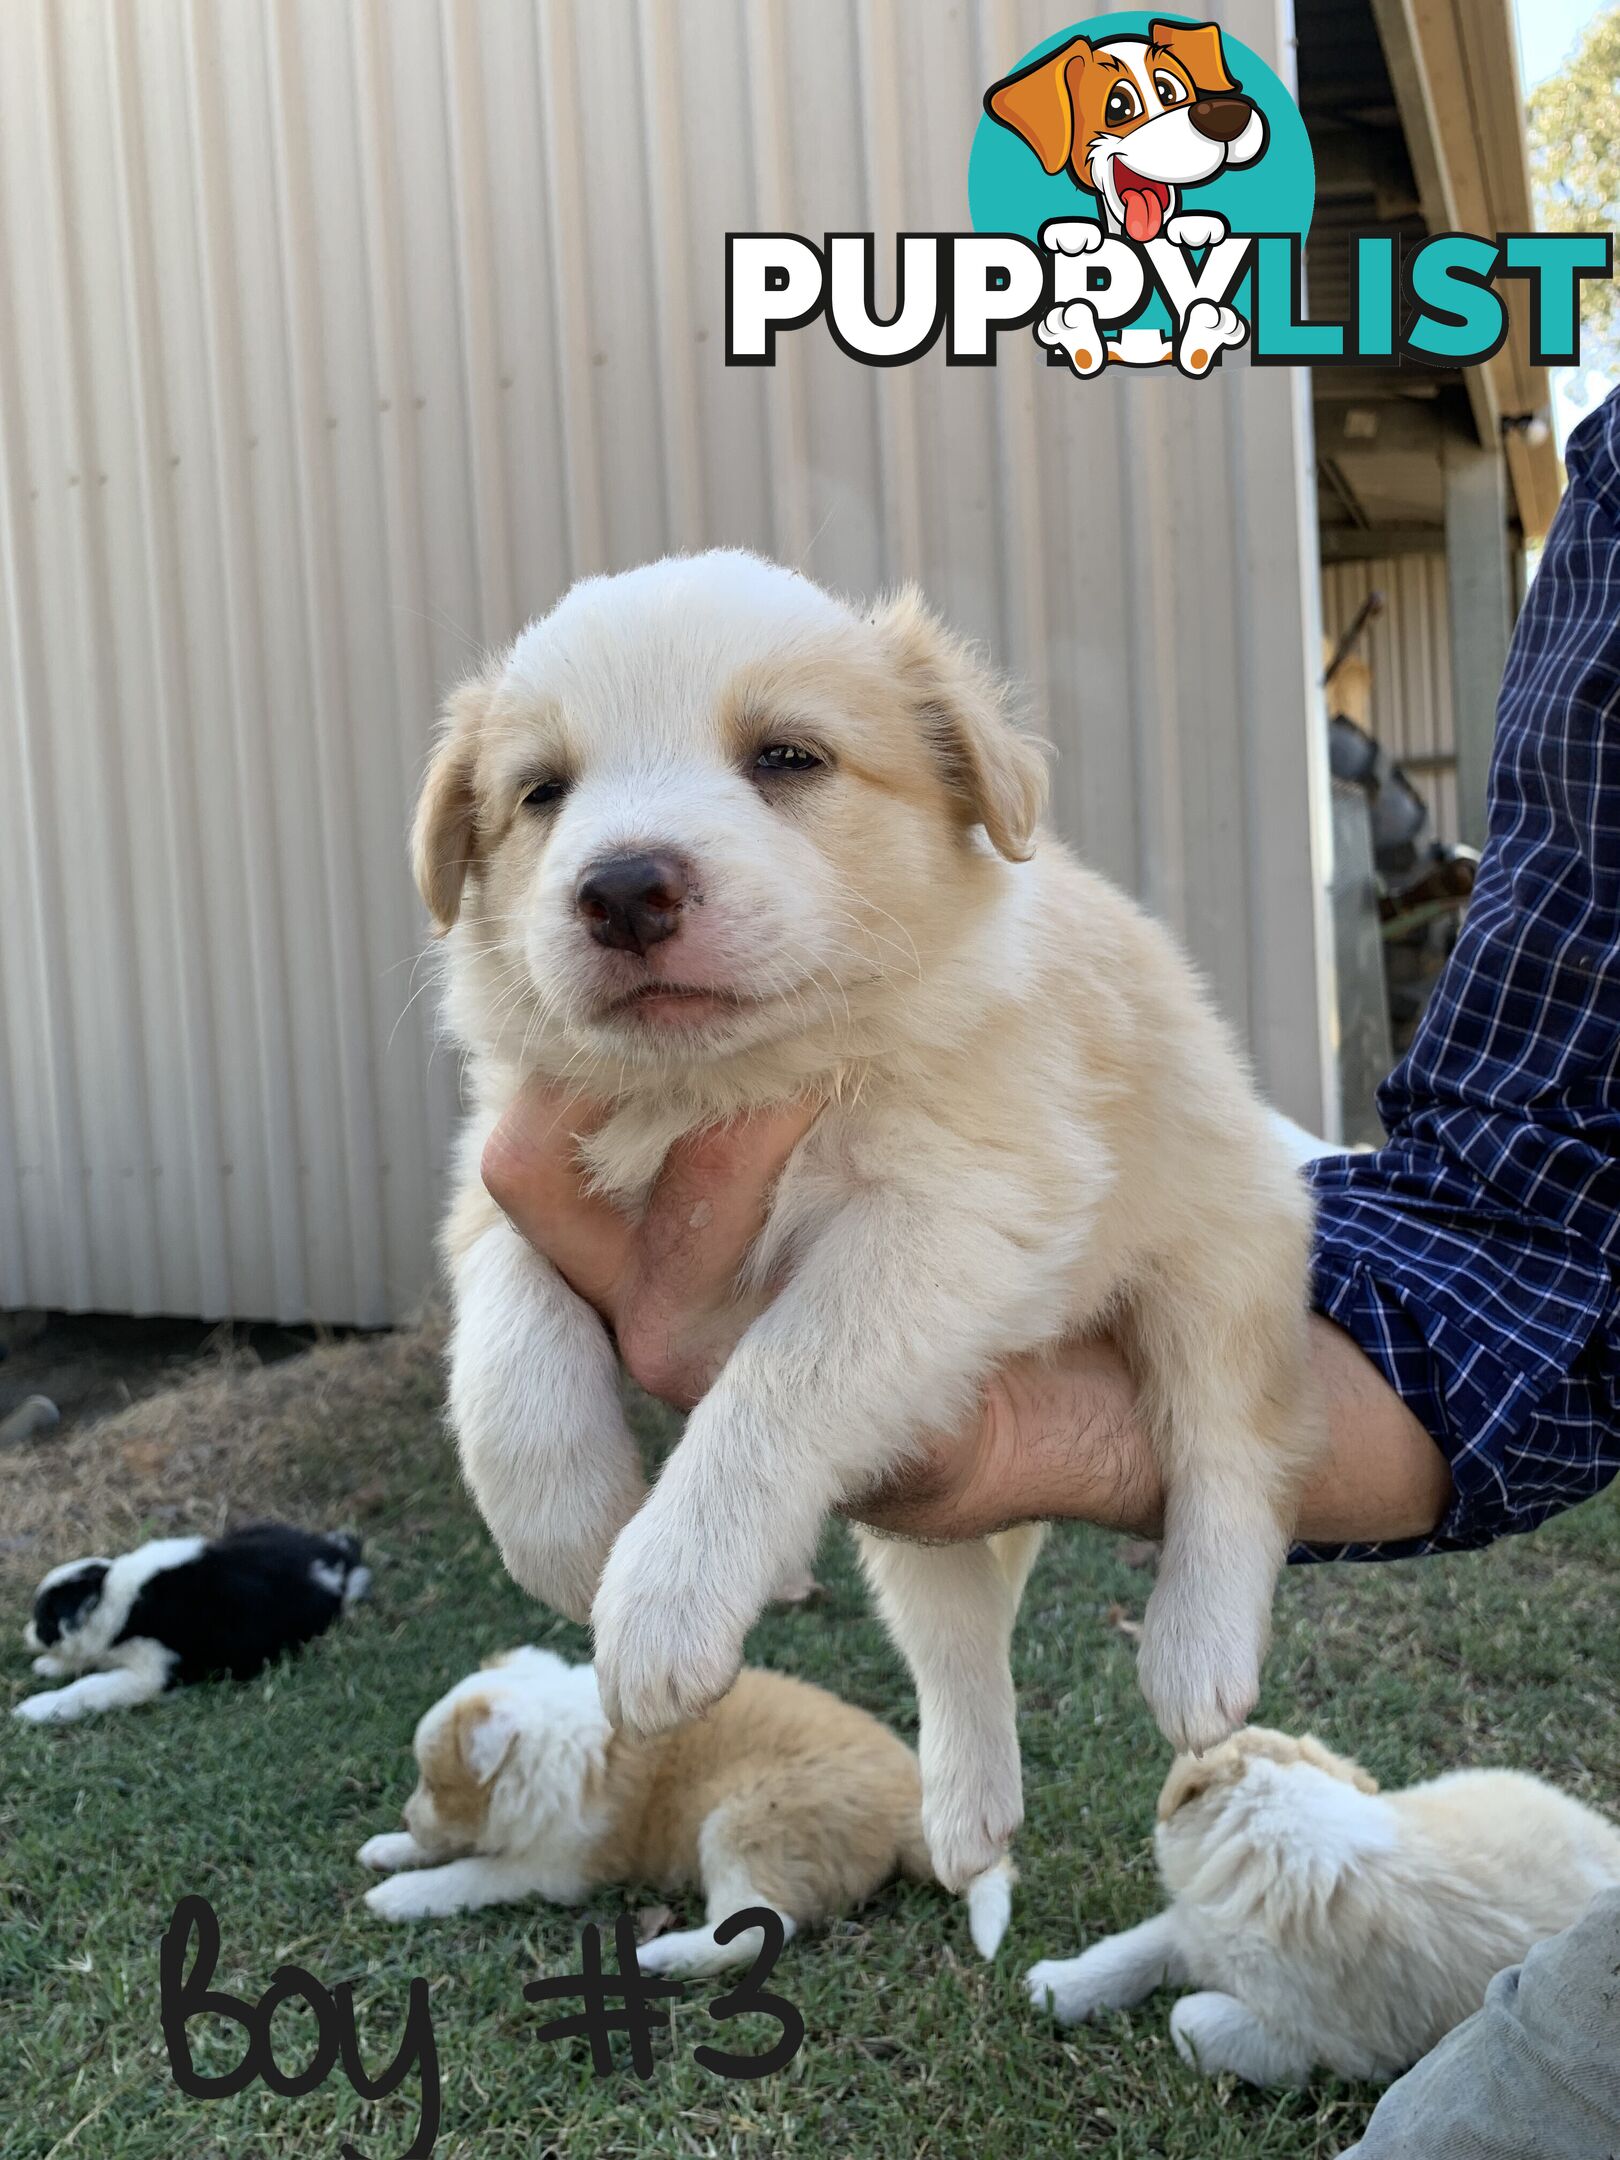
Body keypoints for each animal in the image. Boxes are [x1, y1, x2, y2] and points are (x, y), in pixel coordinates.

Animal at [15, 1529, 371, 1728]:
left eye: (44, 1620)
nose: (25, 1634)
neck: (121, 1598)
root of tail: (338, 1560)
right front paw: (52, 1665)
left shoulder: (154, 1672)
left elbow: (91, 1686)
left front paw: (37, 1708)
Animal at [356, 1641, 1015, 1969]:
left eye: (433, 1783)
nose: (406, 1815)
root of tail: (911, 1809)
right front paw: (387, 1848)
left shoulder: (556, 1866)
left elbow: (471, 1872)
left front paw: (397, 1896)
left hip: (748, 1820)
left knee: (762, 1929)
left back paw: (659, 1956)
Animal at [414, 552, 1321, 1892]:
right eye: (541, 792)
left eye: (787, 757)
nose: (621, 889)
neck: (717, 1087)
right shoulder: (506, 1177)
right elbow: (508, 1363)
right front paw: (572, 1540)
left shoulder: (948, 1217)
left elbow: (773, 1386)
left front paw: (664, 1591)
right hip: (920, 1473)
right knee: (953, 1627)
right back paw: (967, 1810)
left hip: (1217, 1252)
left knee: (1229, 1451)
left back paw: (1194, 1651)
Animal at [1028, 1719, 1620, 2090]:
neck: (1277, 1827)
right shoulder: (1199, 1926)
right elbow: (1131, 1950)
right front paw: (1056, 1987)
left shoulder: (1318, 2046)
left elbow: (1188, 2017)